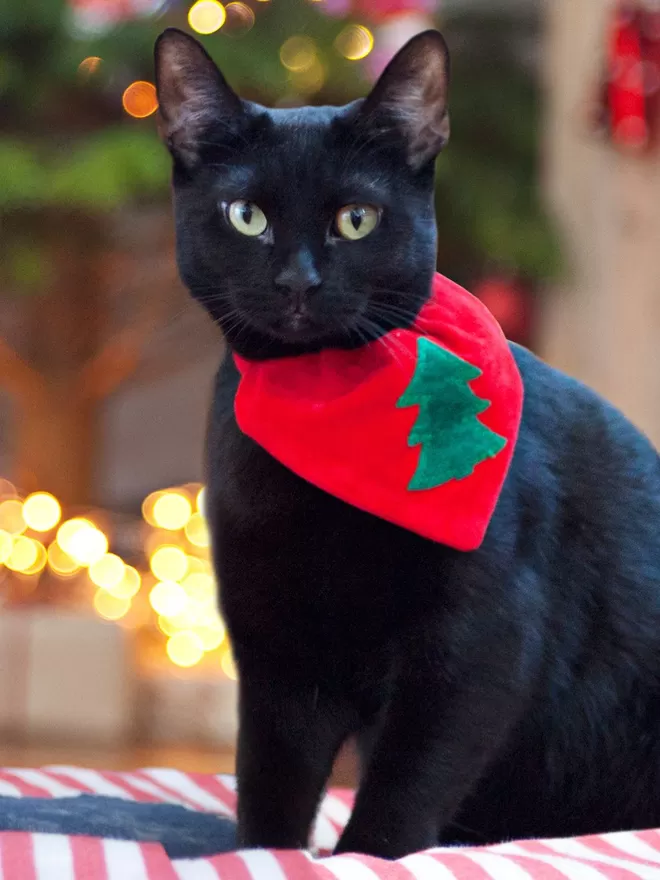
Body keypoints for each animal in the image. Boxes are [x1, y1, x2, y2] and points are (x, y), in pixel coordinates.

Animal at [155, 27, 660, 860]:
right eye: (246, 216)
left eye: (357, 219)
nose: (297, 282)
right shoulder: (274, 640)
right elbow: (270, 781)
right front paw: (264, 857)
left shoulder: (480, 640)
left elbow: (405, 787)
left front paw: (359, 859)